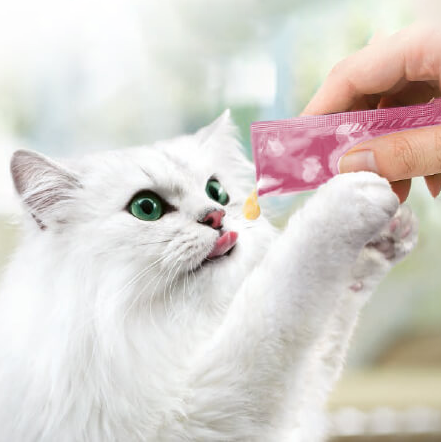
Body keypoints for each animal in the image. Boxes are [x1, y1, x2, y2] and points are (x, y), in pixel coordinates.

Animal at [0, 109, 416, 438]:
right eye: (146, 207)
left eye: (216, 191)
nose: (216, 216)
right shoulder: (208, 405)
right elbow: (290, 282)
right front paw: (355, 191)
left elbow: (331, 323)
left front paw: (389, 234)